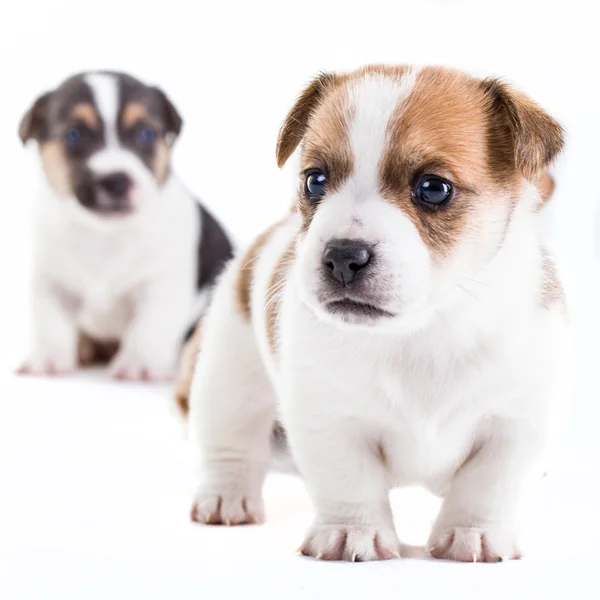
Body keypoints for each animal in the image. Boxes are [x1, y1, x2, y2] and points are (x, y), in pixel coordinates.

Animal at [16, 70, 232, 380]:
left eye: (146, 133)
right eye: (74, 134)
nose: (116, 180)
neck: (106, 233)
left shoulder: (161, 285)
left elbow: (150, 327)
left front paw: (139, 364)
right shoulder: (51, 284)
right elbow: (51, 325)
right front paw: (48, 359)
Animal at [185, 65, 568, 564]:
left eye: (433, 188)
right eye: (315, 181)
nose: (342, 256)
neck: (423, 330)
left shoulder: (515, 423)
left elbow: (488, 486)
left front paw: (473, 532)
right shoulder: (329, 418)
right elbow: (350, 481)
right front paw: (354, 531)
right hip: (229, 373)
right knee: (230, 439)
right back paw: (226, 496)